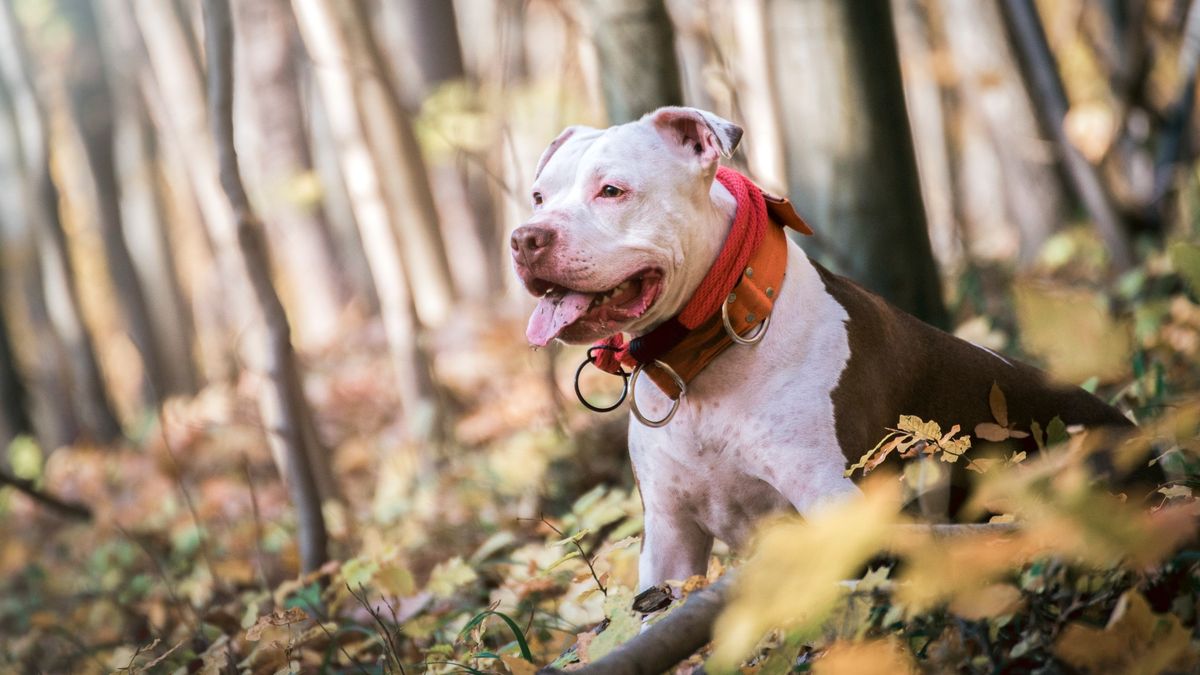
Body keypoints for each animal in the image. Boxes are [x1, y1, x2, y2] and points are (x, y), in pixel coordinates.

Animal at [508, 105, 1132, 588]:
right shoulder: (669, 537)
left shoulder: (839, 507)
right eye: (538, 196)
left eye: (612, 190)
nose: (525, 238)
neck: (705, 362)